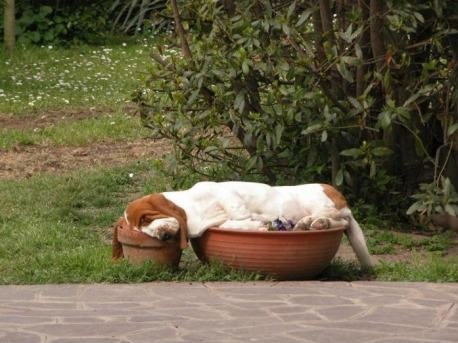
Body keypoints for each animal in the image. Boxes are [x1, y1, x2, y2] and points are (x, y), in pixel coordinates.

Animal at [112, 181, 374, 270]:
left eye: (146, 220)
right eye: (137, 231)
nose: (161, 236)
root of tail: (340, 197)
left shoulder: (227, 194)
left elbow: (237, 210)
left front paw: (258, 220)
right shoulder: (219, 223)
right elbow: (233, 224)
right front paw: (258, 226)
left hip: (318, 201)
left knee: (337, 219)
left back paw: (312, 222)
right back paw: (308, 224)